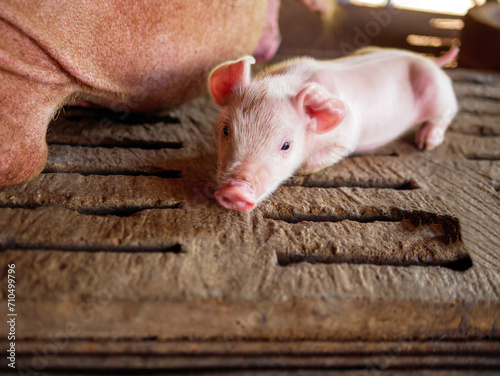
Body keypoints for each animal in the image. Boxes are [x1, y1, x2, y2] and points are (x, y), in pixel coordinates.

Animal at [209, 47, 458, 212]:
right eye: (226, 130)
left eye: (286, 145)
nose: (234, 190)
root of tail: (429, 60)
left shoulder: (347, 139)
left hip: (440, 95)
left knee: (449, 111)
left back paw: (425, 143)